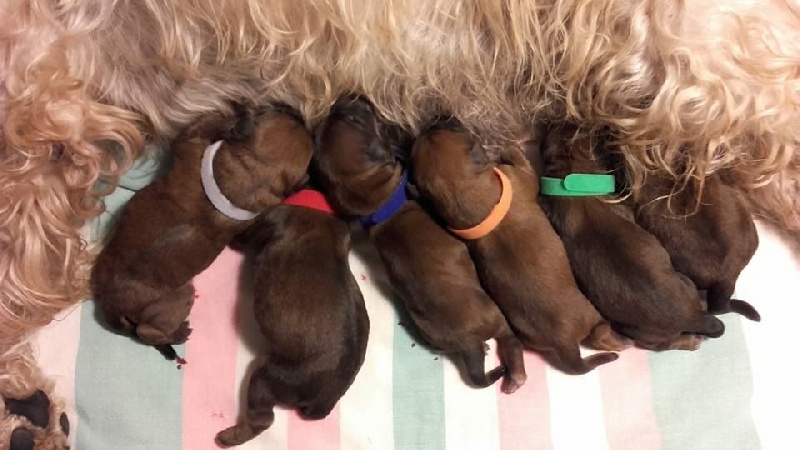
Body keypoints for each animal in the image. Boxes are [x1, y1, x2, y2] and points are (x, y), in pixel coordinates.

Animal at [92, 105, 314, 358]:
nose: (298, 115)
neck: (250, 176)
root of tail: (112, 304)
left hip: (178, 297)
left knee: (146, 331)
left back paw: (175, 334)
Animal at [316, 96, 528, 392]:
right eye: (355, 120)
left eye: (342, 117)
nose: (350, 96)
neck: (380, 200)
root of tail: (469, 344)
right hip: (498, 318)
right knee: (510, 341)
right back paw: (516, 375)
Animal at [412, 120, 624, 376]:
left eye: (433, 134)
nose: (437, 122)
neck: (468, 198)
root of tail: (564, 344)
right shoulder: (520, 176)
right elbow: (524, 166)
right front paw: (511, 148)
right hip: (591, 315)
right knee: (599, 334)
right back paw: (619, 343)